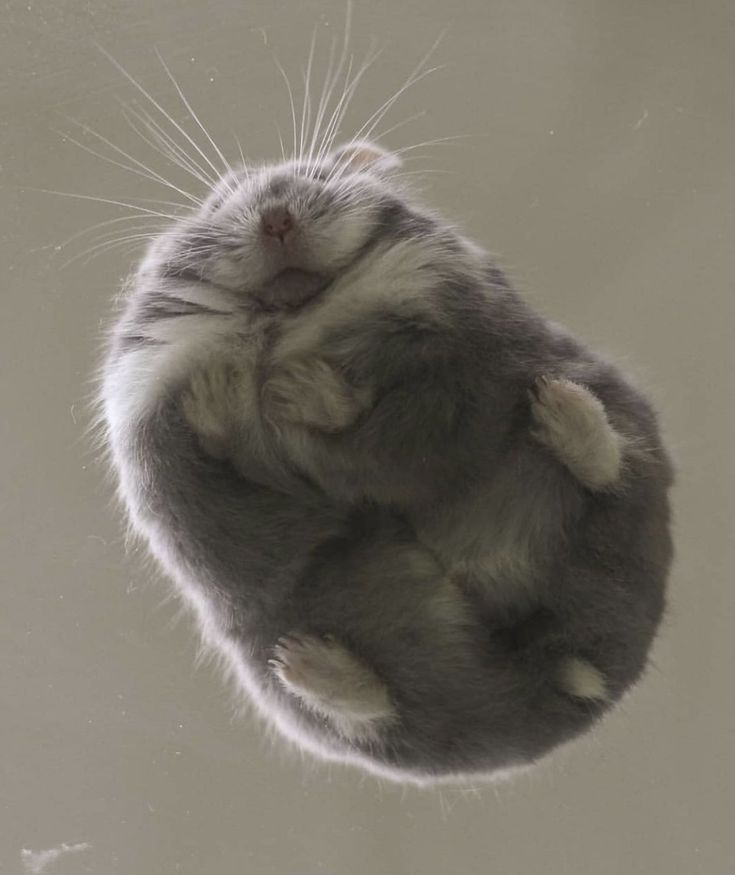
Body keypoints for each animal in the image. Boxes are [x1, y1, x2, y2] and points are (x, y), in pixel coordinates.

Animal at [101, 140, 673, 784]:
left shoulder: (445, 346)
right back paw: (306, 662)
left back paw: (561, 409)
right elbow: (244, 460)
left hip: (623, 430)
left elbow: (377, 423)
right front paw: (222, 391)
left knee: (609, 473)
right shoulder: (169, 445)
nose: (277, 218)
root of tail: (564, 681)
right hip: (278, 656)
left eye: (314, 176)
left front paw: (291, 388)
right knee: (378, 709)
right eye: (219, 203)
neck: (292, 313)